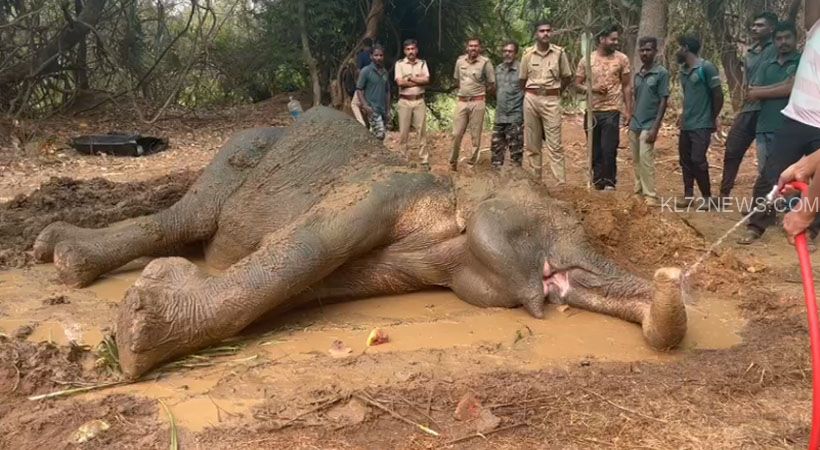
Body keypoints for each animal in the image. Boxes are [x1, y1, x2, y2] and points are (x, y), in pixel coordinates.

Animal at [33, 106, 687, 379]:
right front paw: (135, 332)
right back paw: (60, 257)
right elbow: (301, 253)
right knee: (184, 218)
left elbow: (314, 283)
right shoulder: (384, 191)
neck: (451, 197)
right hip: (235, 156)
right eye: (563, 216)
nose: (671, 276)